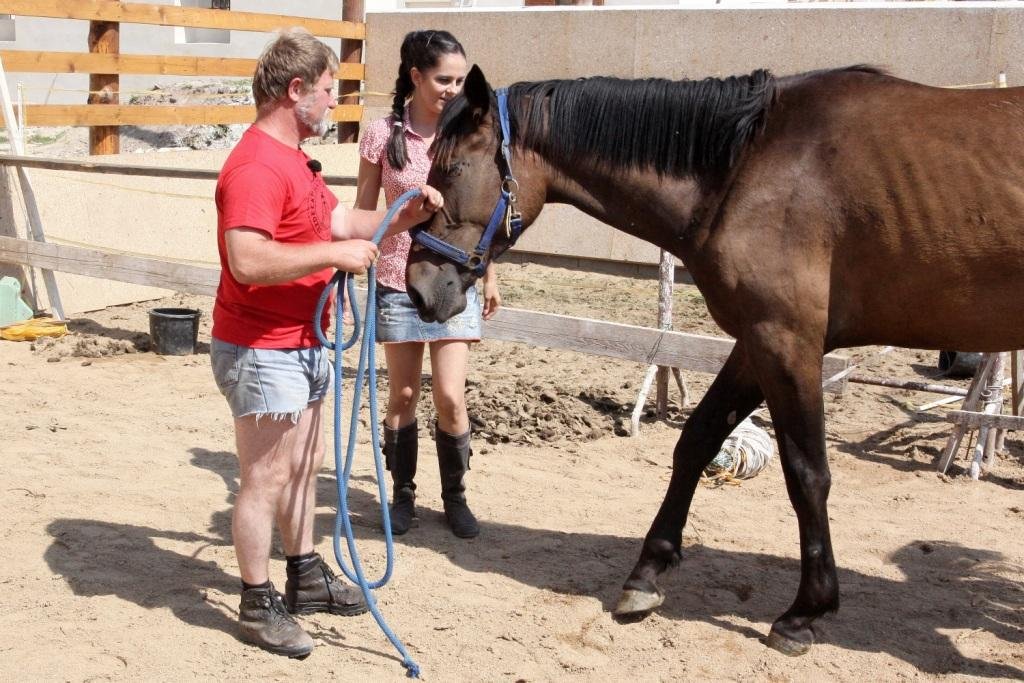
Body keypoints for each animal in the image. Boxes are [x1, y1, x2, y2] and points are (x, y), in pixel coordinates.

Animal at [403, 65, 1019, 655]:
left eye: (451, 169)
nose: (418, 287)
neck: (749, 164)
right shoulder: (756, 343)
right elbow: (695, 441)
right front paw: (647, 575)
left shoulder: (786, 341)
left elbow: (807, 474)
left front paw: (805, 612)